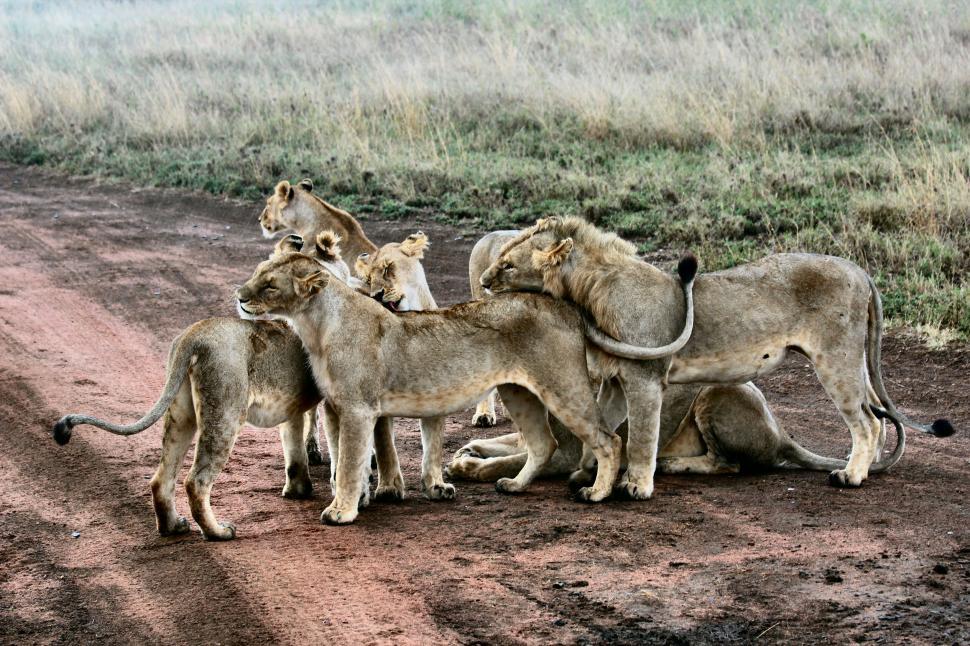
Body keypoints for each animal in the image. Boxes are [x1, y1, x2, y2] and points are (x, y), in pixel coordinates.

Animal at [51, 232, 407, 541]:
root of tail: (192, 336)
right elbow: (342, 453)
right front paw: (357, 493)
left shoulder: (293, 403)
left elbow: (294, 448)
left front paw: (298, 489)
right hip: (224, 412)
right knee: (196, 481)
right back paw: (217, 532)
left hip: (181, 415)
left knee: (161, 477)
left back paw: (172, 526)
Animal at [235, 252, 626, 525]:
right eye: (256, 274)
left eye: (270, 284)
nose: (239, 296)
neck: (315, 325)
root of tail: (564, 306)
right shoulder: (334, 407)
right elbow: (344, 460)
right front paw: (357, 498)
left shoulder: (358, 408)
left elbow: (348, 462)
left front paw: (342, 511)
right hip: (520, 393)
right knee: (544, 444)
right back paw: (514, 485)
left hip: (563, 386)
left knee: (608, 439)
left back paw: (596, 492)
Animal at [480, 216, 954, 497]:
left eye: (508, 266)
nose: (483, 281)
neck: (588, 292)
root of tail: (859, 270)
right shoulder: (617, 379)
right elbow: (607, 429)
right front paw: (592, 474)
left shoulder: (645, 378)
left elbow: (641, 436)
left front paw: (635, 486)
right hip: (850, 361)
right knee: (875, 416)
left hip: (835, 359)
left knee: (867, 421)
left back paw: (853, 476)